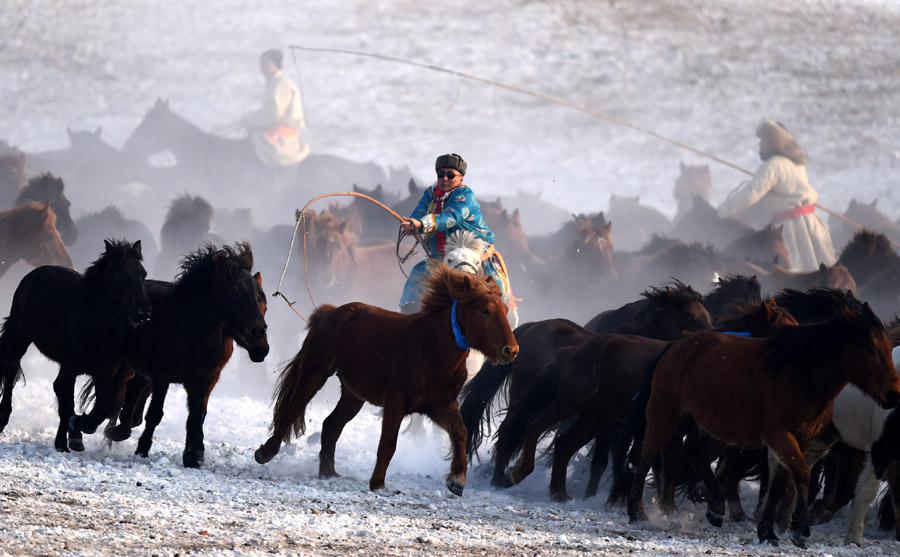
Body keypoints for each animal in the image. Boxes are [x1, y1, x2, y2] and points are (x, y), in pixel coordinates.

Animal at [0, 240, 149, 452]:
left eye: (143, 274)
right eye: (120, 275)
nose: (144, 313)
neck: (93, 323)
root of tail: (34, 274)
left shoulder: (103, 371)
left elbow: (101, 409)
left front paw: (79, 428)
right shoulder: (70, 366)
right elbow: (67, 405)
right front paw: (62, 442)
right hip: (19, 336)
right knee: (11, 368)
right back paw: (3, 419)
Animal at [102, 241, 268, 466]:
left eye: (257, 294)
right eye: (234, 289)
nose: (259, 335)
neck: (193, 329)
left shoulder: (202, 380)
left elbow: (195, 417)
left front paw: (191, 458)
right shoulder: (162, 377)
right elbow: (155, 414)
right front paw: (142, 450)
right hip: (126, 365)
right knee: (120, 393)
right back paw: (112, 433)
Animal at [256, 266, 516, 496]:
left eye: (504, 309)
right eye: (484, 310)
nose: (511, 350)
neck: (431, 349)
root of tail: (333, 312)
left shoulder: (441, 405)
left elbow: (460, 432)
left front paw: (457, 480)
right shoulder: (395, 401)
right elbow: (388, 444)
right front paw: (378, 485)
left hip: (353, 394)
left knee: (331, 424)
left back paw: (329, 473)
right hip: (315, 372)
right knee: (292, 409)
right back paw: (265, 453)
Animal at [624, 296, 900, 548]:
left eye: (887, 345)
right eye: (868, 345)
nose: (893, 394)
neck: (800, 374)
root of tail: (677, 346)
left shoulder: (800, 439)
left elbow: (781, 484)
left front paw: (768, 532)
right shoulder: (780, 435)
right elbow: (801, 476)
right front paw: (800, 532)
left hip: (717, 429)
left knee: (696, 455)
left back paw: (715, 508)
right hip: (666, 417)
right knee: (647, 457)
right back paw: (638, 512)